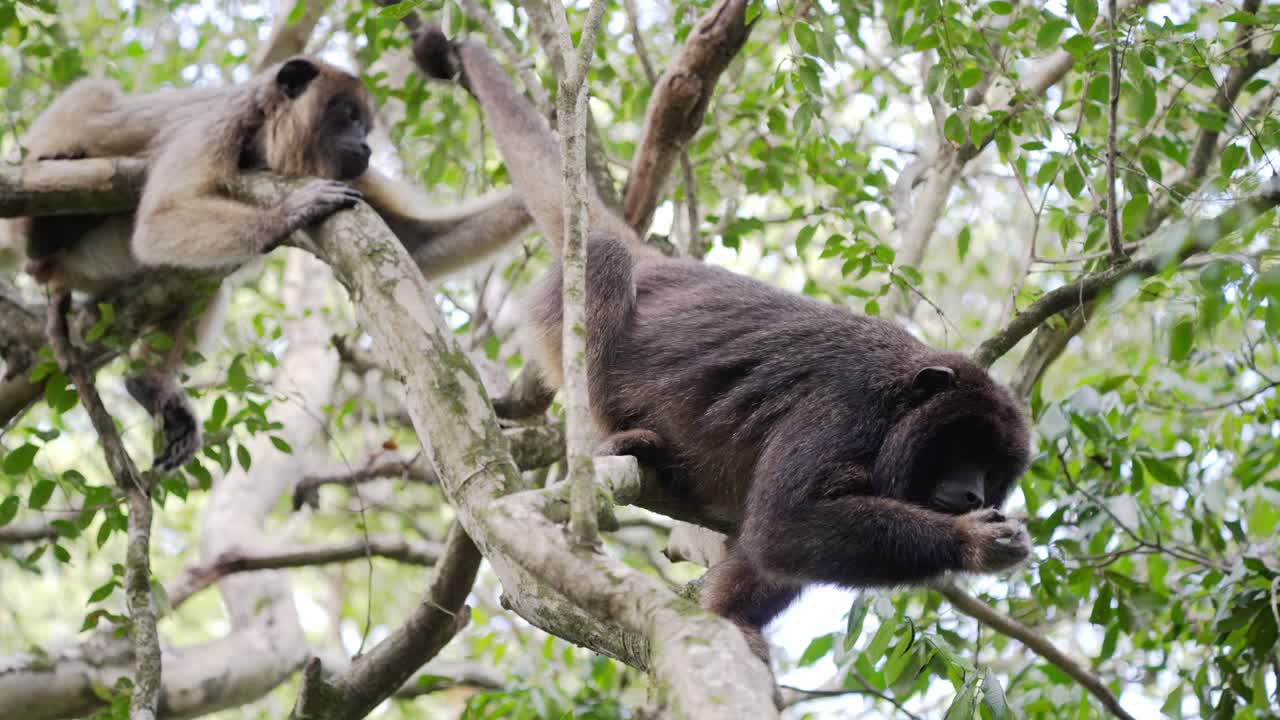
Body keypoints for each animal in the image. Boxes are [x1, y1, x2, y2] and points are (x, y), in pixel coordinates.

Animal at [5, 56, 531, 473]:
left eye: (364, 125)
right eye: (347, 116)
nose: (366, 146)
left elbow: (418, 244)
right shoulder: (221, 122)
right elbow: (158, 221)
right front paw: (293, 212)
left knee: (195, 281)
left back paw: (149, 383)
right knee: (96, 97)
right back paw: (45, 229)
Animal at [413, 28, 1034, 665]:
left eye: (993, 470)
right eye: (961, 445)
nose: (971, 492)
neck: (899, 400)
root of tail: (660, 263)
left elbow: (767, 553)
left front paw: (732, 618)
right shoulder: (847, 405)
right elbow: (785, 525)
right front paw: (971, 543)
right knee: (605, 259)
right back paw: (620, 434)